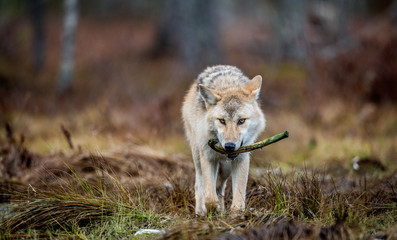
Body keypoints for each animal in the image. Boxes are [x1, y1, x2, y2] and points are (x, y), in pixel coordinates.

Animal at [181, 65, 264, 216]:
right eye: (222, 121)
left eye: (241, 121)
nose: (229, 146)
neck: (227, 85)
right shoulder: (207, 157)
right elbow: (210, 198)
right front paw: (211, 210)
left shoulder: (241, 159)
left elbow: (238, 199)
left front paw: (235, 217)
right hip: (198, 157)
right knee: (200, 184)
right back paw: (200, 211)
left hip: (226, 169)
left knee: (220, 188)